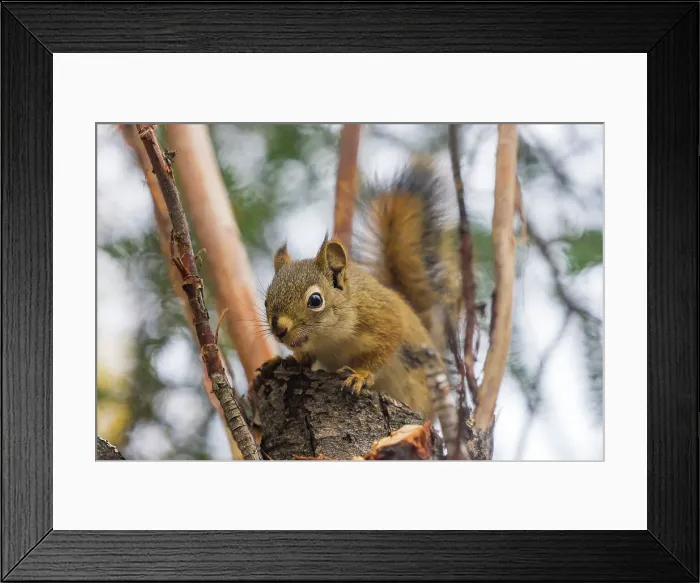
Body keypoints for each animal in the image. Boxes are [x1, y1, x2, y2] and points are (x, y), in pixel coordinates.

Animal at [262, 160, 461, 419]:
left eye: (315, 300)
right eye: (266, 301)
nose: (279, 329)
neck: (330, 340)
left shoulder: (384, 320)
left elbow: (380, 353)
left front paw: (360, 375)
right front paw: (286, 360)